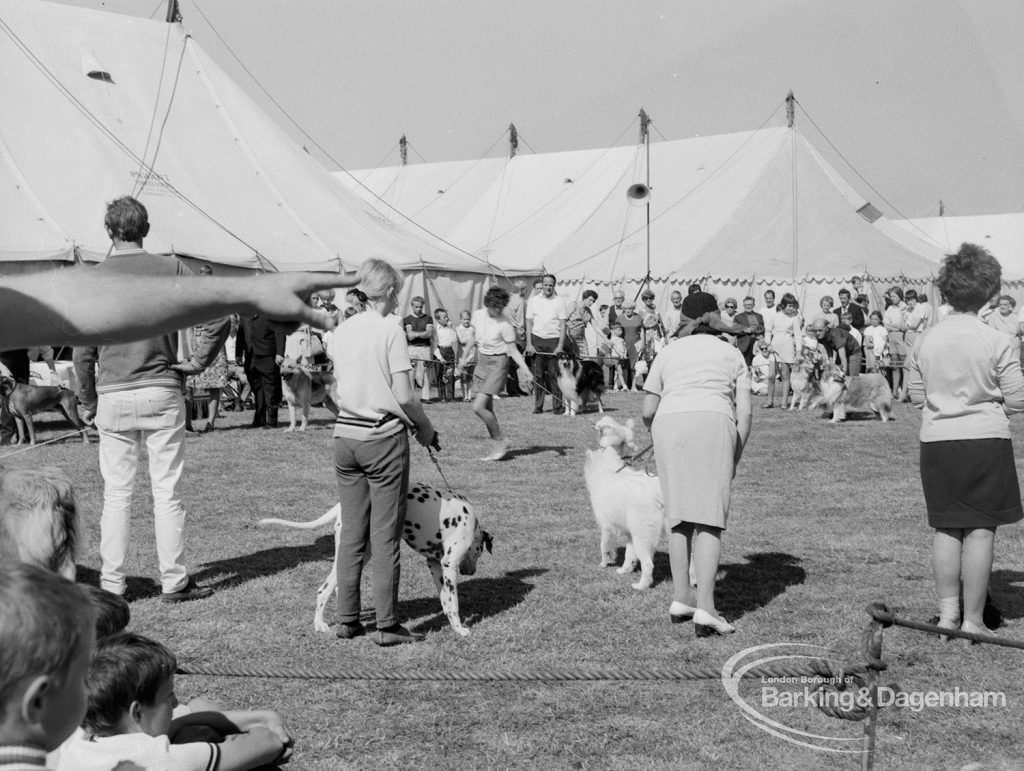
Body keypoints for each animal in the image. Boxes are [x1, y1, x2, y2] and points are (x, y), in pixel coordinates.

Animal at [260, 481, 491, 638]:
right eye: (479, 552)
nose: (471, 572)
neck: (471, 521)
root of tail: (341, 505)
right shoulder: (449, 565)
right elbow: (454, 602)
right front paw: (460, 629)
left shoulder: (434, 564)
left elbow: (445, 600)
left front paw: (452, 623)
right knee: (323, 590)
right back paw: (320, 624)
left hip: (361, 554)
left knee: (337, 587)